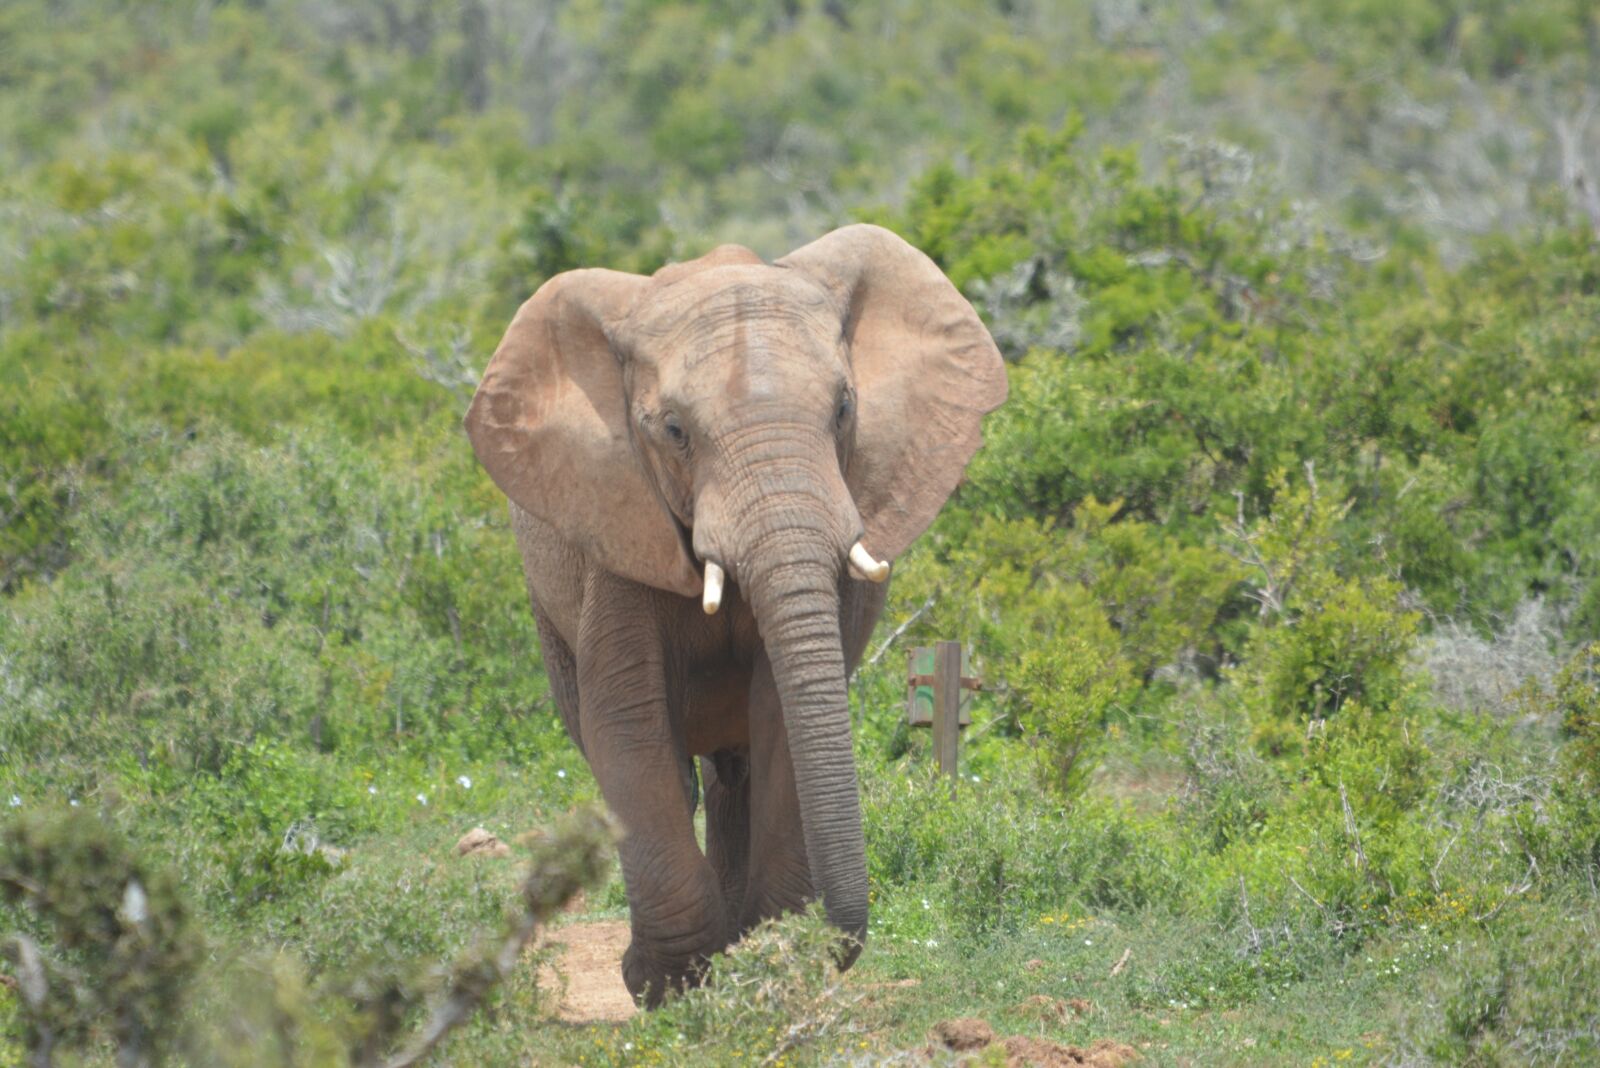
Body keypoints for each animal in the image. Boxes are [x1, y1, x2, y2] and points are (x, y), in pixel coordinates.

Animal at [464, 224, 1007, 1005]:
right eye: (674, 430)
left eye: (844, 409)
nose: (837, 946)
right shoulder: (618, 526)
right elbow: (627, 722)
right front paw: (665, 984)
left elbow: (782, 709)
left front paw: (765, 959)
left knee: (734, 775)